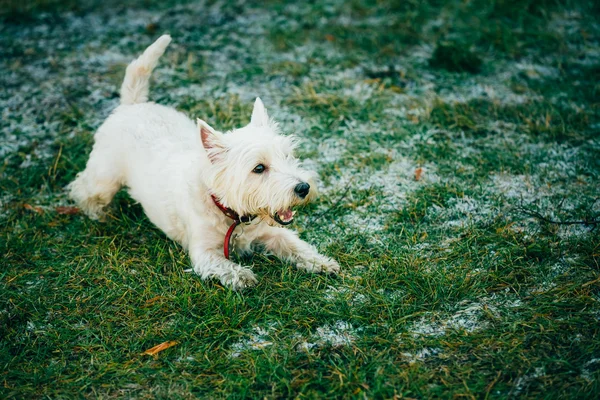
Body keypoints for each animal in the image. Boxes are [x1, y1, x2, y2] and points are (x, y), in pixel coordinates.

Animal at [68, 35, 340, 288]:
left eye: (287, 156)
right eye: (259, 168)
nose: (303, 188)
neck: (232, 214)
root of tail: (132, 105)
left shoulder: (269, 231)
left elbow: (293, 243)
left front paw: (321, 262)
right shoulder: (203, 252)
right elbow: (225, 265)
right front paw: (243, 276)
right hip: (105, 178)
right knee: (83, 187)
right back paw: (97, 212)